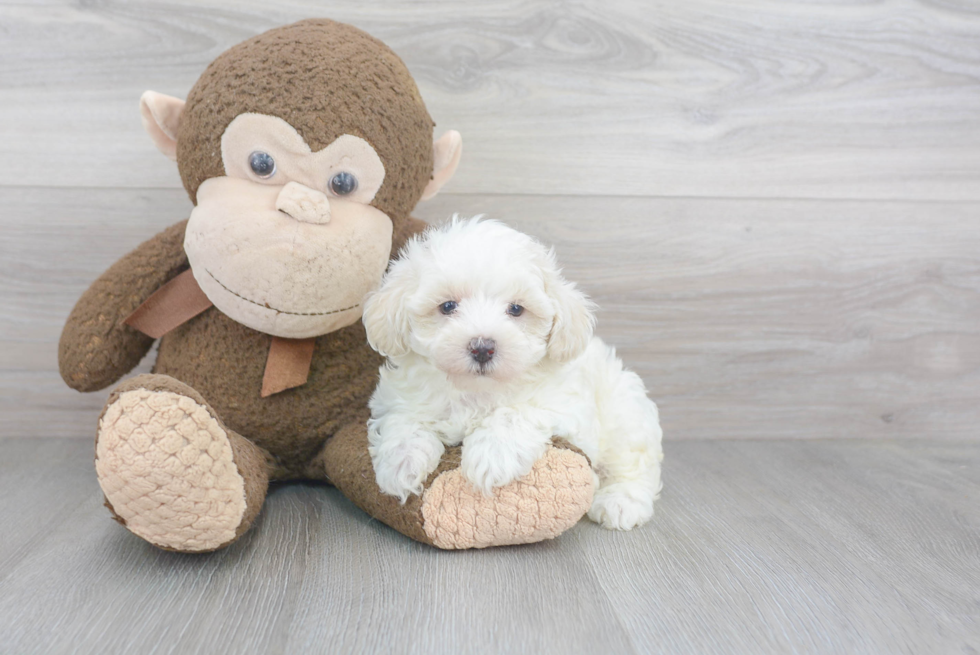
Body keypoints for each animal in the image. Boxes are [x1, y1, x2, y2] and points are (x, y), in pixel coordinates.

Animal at [362, 218, 668, 532]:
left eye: (516, 309)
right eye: (447, 306)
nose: (482, 348)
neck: (477, 391)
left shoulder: (564, 404)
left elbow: (515, 412)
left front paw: (492, 455)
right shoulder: (398, 397)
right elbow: (404, 419)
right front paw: (401, 463)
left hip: (624, 414)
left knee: (634, 463)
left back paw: (620, 502)